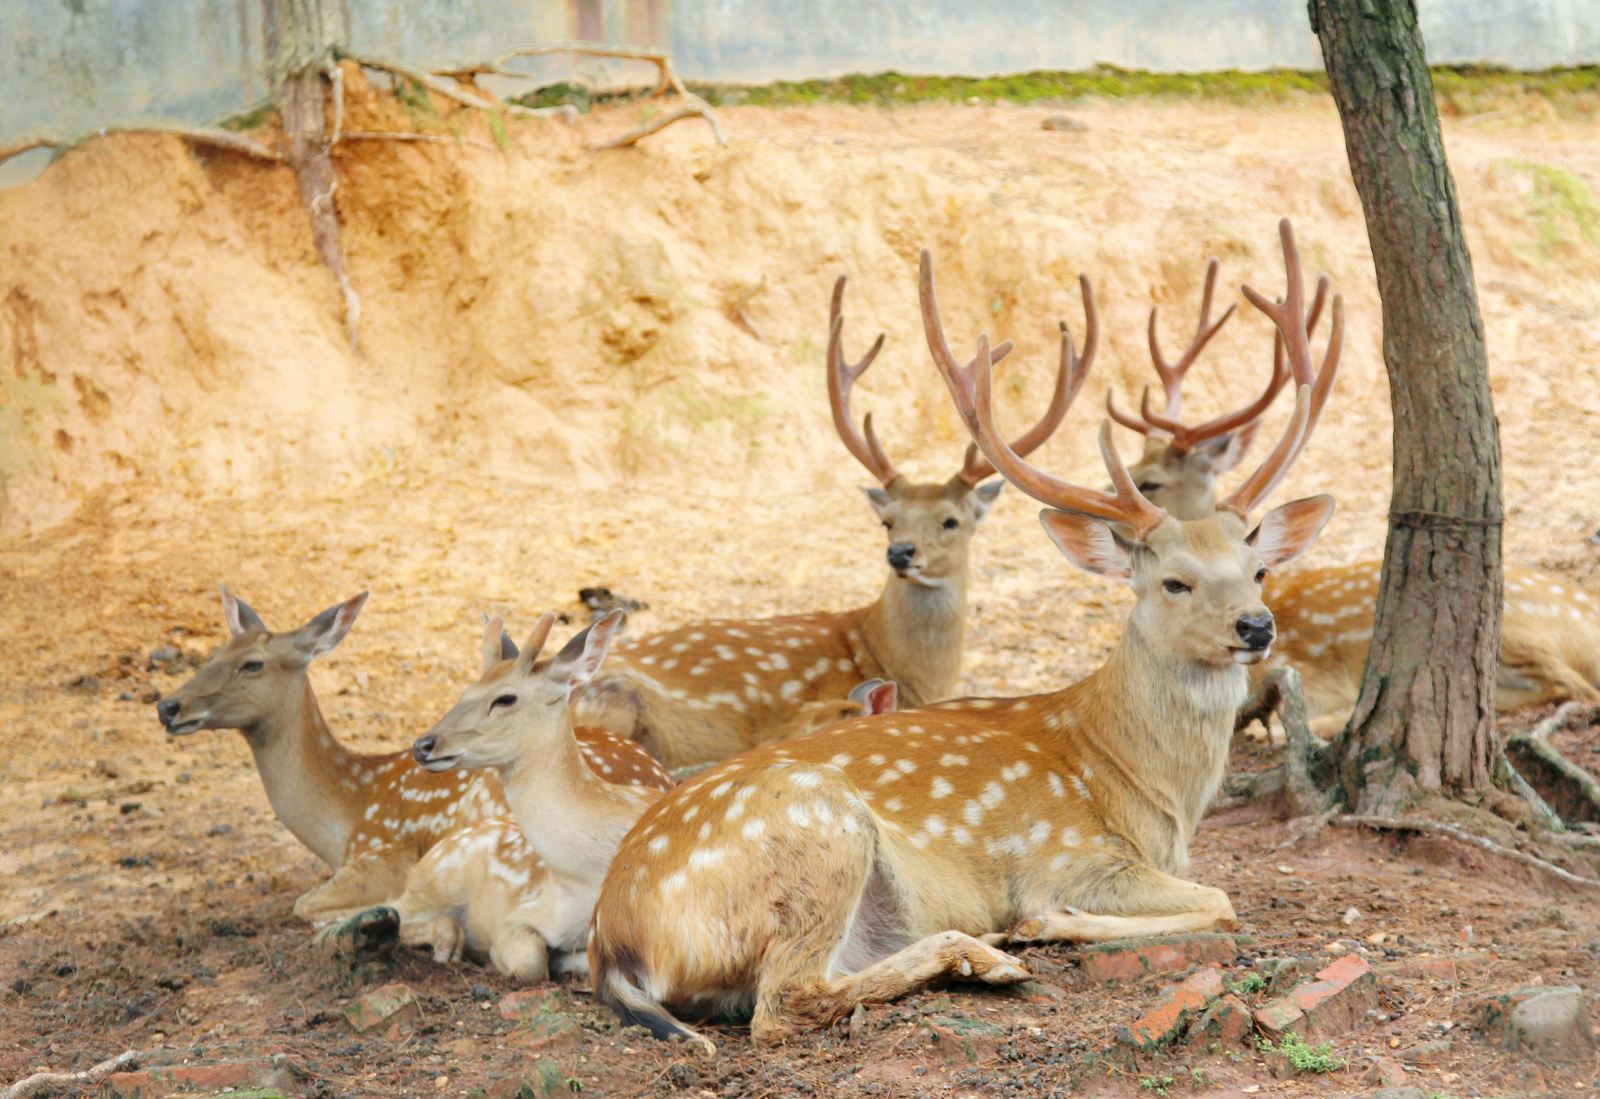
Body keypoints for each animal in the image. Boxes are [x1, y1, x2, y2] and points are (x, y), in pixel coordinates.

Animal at [154, 585, 662, 927]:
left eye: (253, 664)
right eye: (213, 652)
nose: (167, 706)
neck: (345, 814)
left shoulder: (382, 850)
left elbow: (305, 905)